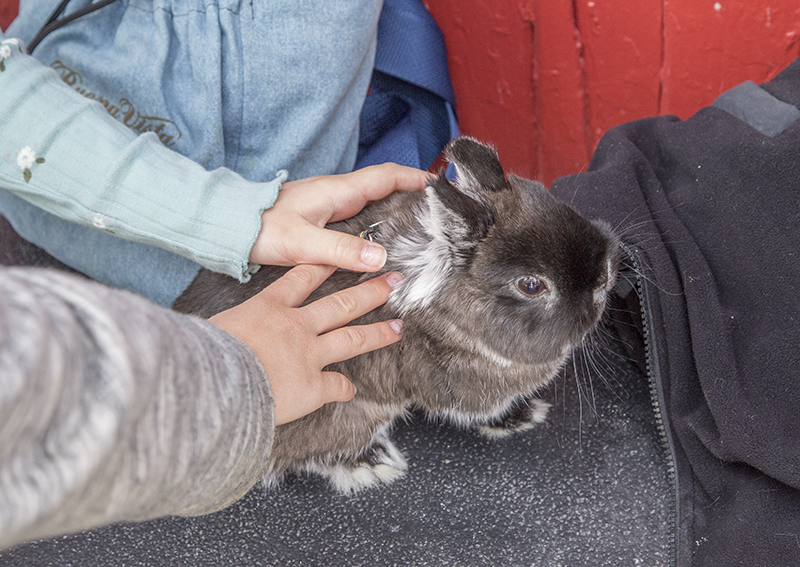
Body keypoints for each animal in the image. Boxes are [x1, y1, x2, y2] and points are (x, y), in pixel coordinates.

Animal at [173, 136, 624, 492]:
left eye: (557, 205)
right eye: (531, 285)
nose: (605, 278)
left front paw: (524, 413)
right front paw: (519, 417)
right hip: (340, 405)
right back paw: (371, 463)